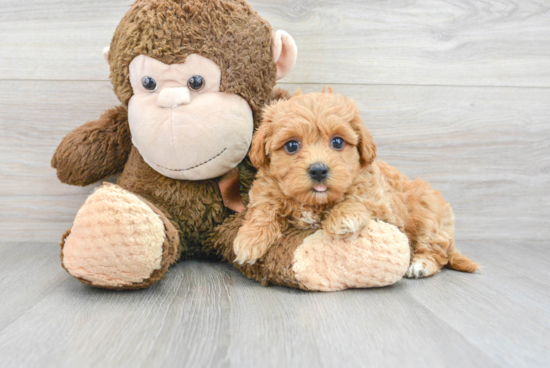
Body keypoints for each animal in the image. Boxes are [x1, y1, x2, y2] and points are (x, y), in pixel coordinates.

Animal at [235, 90, 480, 278]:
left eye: (337, 142)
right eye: (292, 145)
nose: (318, 170)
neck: (315, 203)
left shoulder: (382, 204)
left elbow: (358, 199)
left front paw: (344, 217)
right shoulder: (266, 191)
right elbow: (264, 209)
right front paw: (249, 240)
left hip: (428, 214)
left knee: (437, 250)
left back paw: (422, 265)